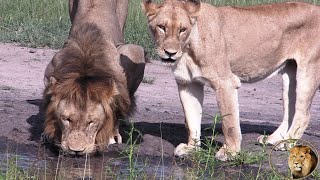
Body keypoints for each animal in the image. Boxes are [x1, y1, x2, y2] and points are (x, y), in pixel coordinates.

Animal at [43, 0, 146, 155]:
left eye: (91, 122)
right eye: (67, 119)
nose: (76, 151)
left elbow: (116, 109)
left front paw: (111, 136)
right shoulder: (51, 70)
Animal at [142, 0, 320, 160]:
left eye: (182, 30)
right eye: (162, 27)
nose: (170, 53)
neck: (187, 48)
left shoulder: (225, 83)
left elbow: (229, 122)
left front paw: (230, 152)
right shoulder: (188, 84)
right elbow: (192, 119)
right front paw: (191, 148)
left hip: (307, 70)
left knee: (304, 114)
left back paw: (286, 143)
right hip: (290, 74)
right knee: (290, 110)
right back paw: (274, 139)